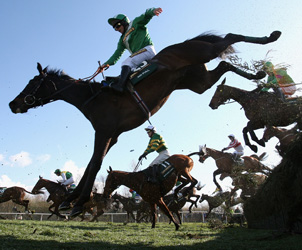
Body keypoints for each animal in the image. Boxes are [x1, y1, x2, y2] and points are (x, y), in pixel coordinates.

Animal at [7, 30, 280, 217]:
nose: (12, 104)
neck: (92, 98)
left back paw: (270, 38)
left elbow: (94, 164)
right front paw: (70, 199)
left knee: (229, 38)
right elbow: (91, 164)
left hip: (201, 53)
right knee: (223, 63)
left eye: (32, 83)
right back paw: (256, 74)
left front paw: (77, 202)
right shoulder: (112, 135)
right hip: (198, 81)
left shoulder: (104, 131)